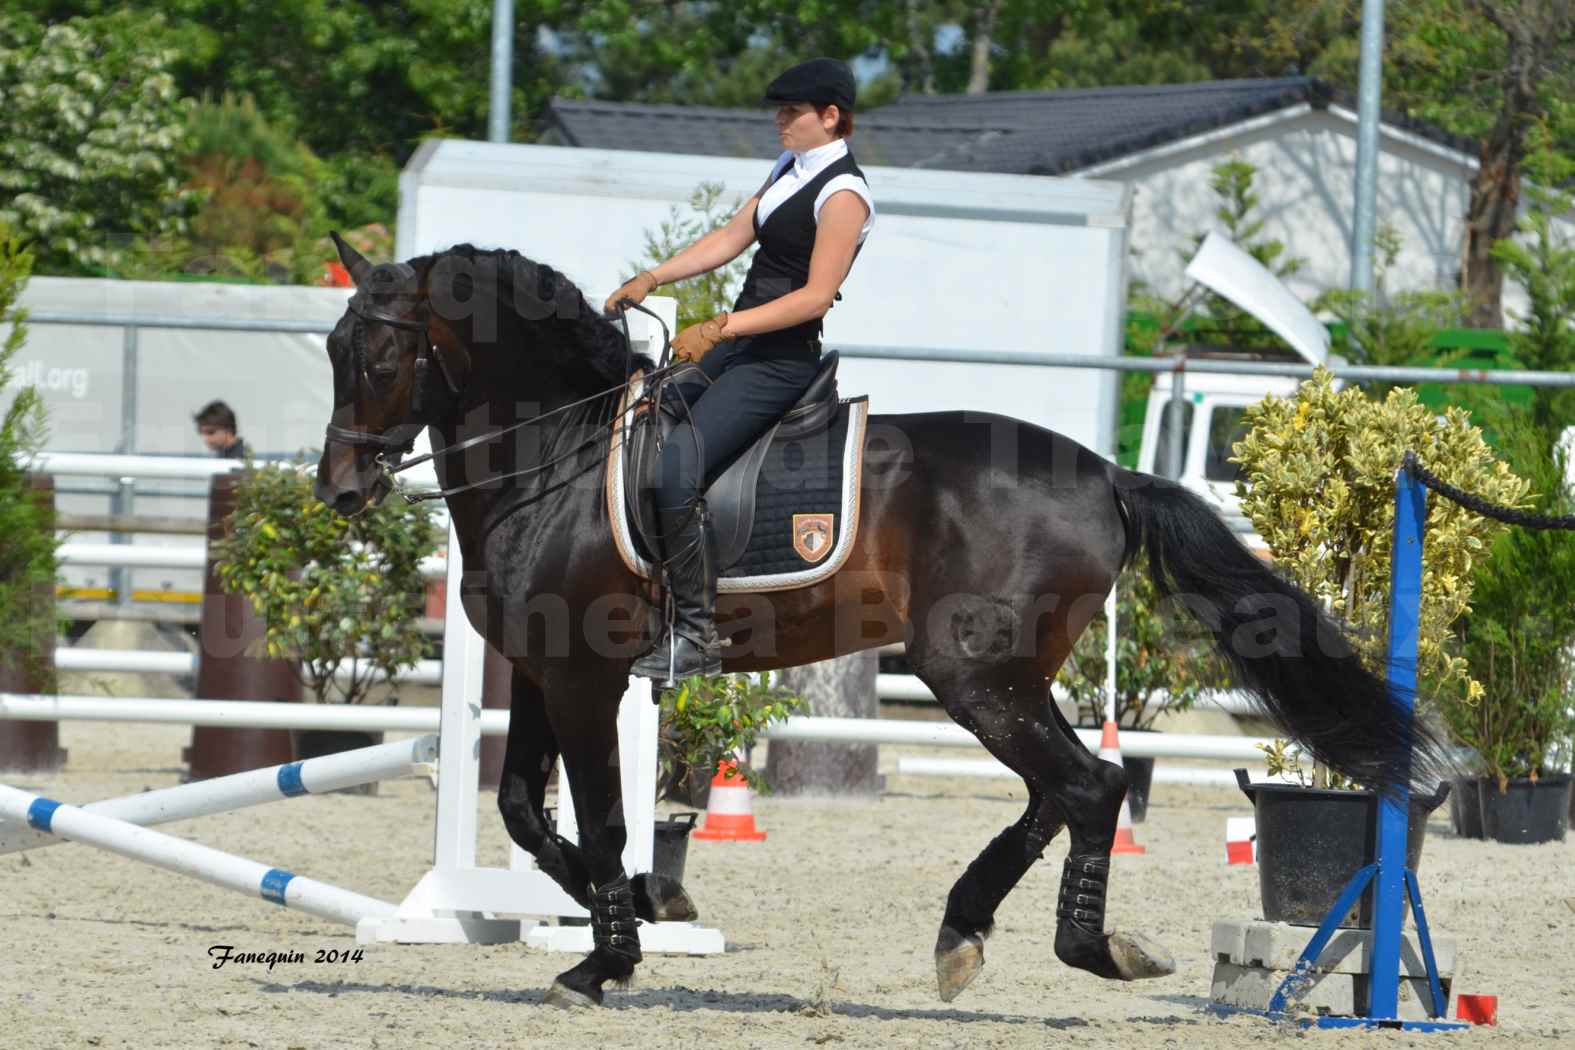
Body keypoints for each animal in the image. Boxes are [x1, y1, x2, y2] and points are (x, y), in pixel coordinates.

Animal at [316, 236, 1442, 1007]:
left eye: (378, 354)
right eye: (332, 346)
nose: (340, 490)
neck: (557, 455)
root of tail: (1107, 476)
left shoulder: (587, 678)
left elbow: (598, 819)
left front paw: (606, 957)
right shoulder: (540, 671)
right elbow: (522, 810)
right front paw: (644, 906)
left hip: (971, 674)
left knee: (1088, 784)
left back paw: (1085, 948)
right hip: (1003, 676)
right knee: (1065, 789)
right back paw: (967, 931)